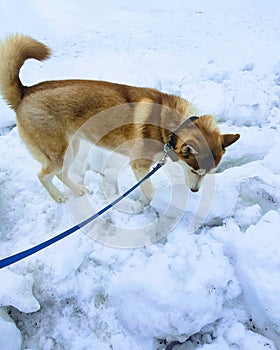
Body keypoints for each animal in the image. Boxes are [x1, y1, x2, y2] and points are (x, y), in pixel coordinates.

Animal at [0, 34, 241, 204]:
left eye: (208, 173)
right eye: (194, 171)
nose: (194, 190)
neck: (174, 127)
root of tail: (25, 92)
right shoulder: (139, 165)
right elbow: (149, 190)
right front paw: (148, 205)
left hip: (72, 148)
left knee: (60, 174)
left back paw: (77, 189)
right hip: (57, 153)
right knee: (43, 175)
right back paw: (58, 196)